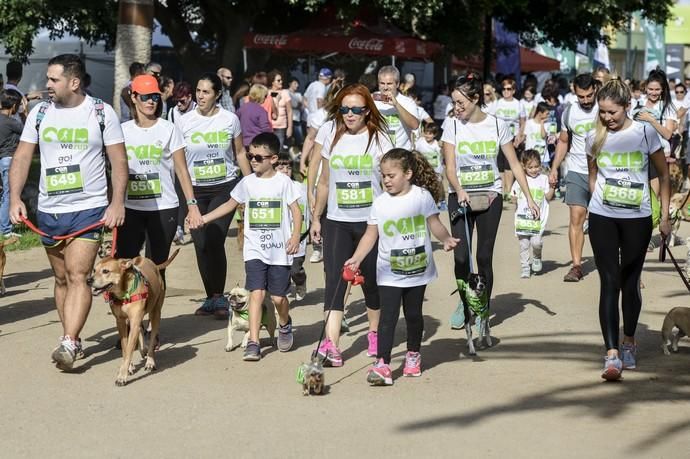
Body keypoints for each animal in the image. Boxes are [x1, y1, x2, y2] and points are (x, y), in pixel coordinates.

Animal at [88, 250, 179, 386]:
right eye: (94, 270)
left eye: (105, 271)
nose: (88, 280)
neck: (123, 294)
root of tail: (154, 265)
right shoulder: (121, 322)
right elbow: (125, 349)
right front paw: (129, 367)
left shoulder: (134, 320)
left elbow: (130, 349)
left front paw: (122, 376)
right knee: (140, 330)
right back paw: (143, 350)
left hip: (155, 313)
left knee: (152, 337)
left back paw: (150, 361)